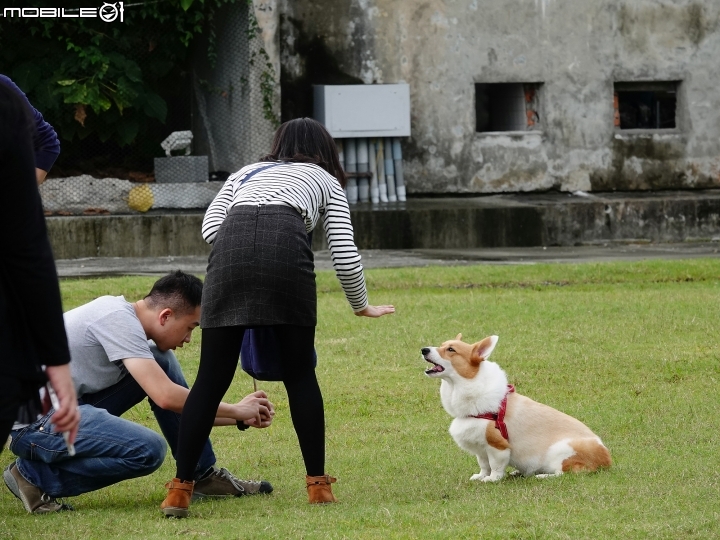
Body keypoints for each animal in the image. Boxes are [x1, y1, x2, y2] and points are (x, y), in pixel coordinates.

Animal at [422, 336, 612, 484]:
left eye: (451, 349)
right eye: (441, 344)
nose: (424, 350)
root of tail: (607, 459)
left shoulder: (497, 445)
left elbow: (495, 466)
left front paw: (492, 479)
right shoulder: (480, 448)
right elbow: (484, 465)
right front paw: (481, 476)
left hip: (559, 452)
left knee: (565, 473)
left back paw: (542, 476)